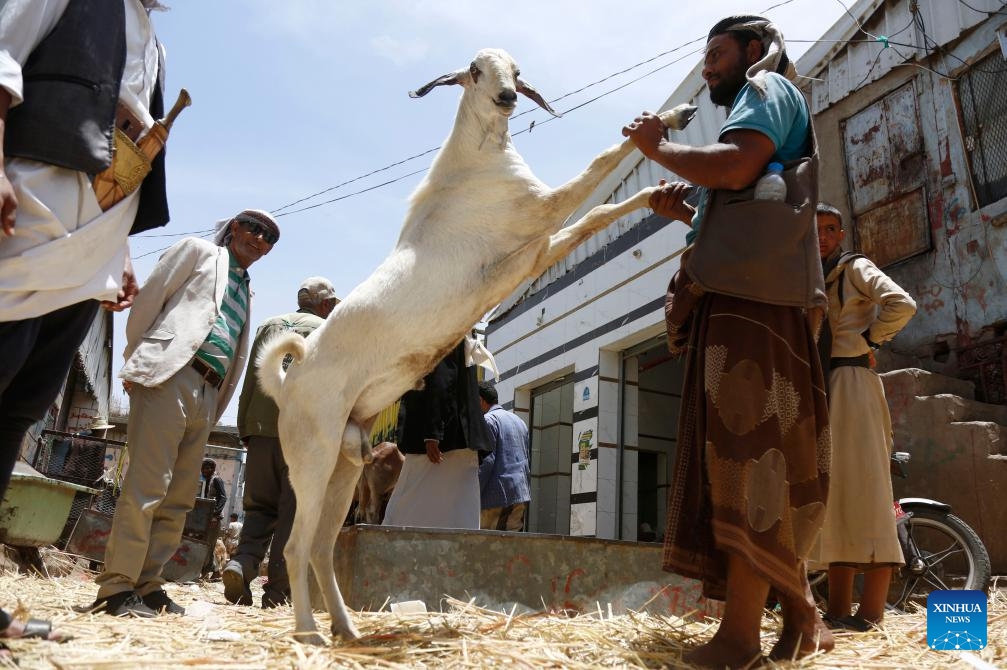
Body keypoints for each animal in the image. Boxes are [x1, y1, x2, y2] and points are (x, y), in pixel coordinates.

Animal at [256, 47, 696, 644]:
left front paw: (663, 193)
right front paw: (664, 123)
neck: (479, 154)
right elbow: (603, 162)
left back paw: (347, 630)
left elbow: (599, 215)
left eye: (518, 71)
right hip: (314, 459)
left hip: (346, 468)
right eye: (475, 70)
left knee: (323, 547)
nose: (508, 97)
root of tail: (291, 379)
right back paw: (308, 632)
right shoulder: (541, 213)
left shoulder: (537, 249)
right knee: (297, 545)